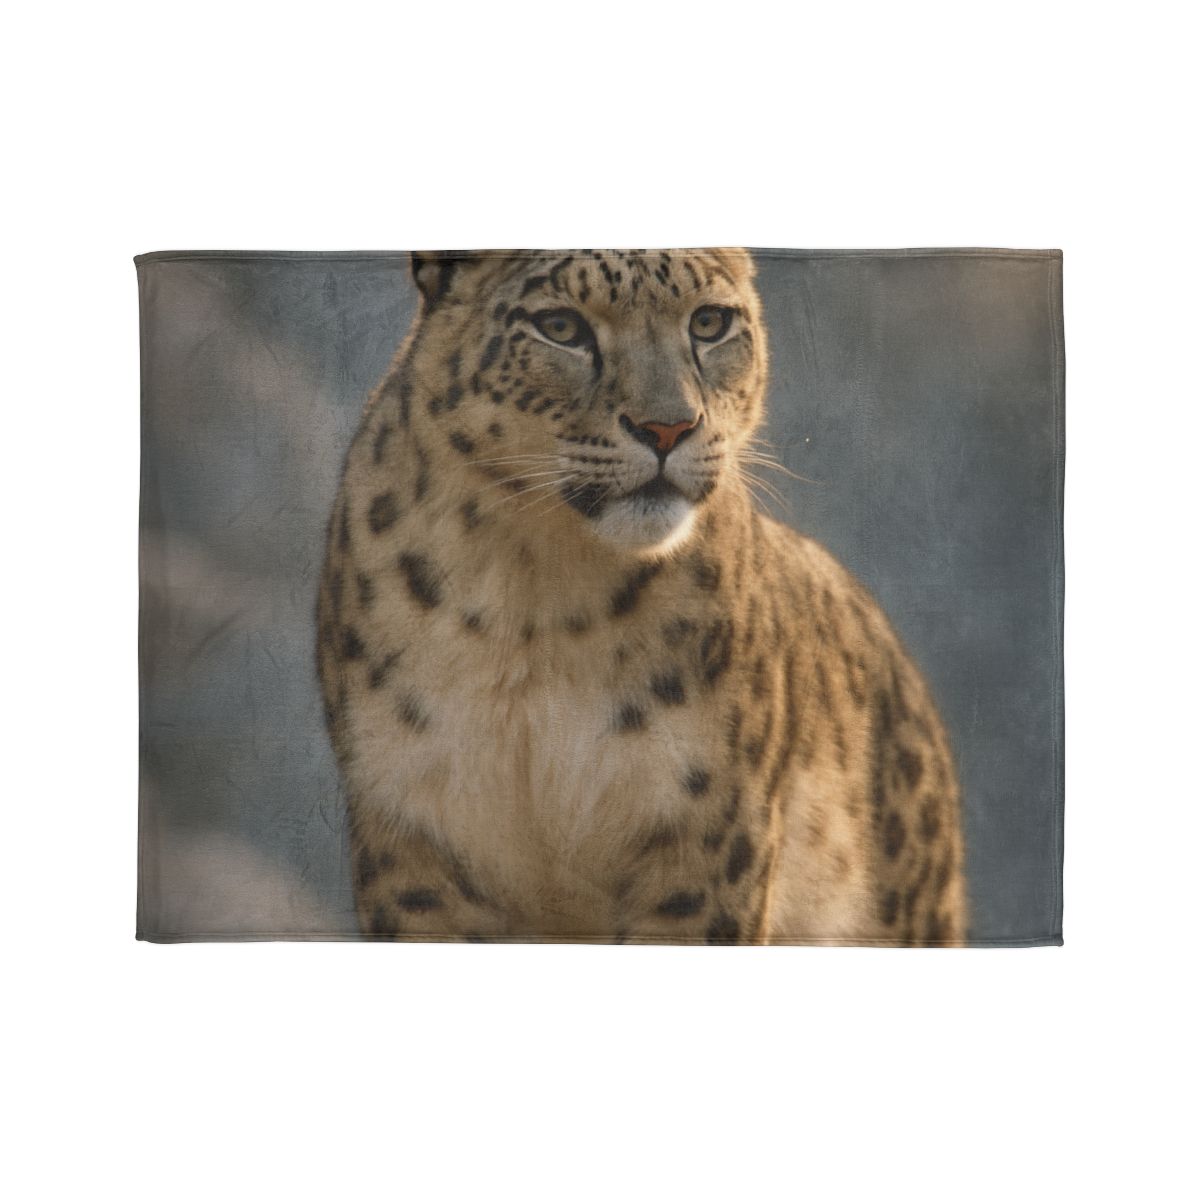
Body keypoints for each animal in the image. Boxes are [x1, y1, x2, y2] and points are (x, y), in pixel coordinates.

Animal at [316, 248, 967, 944]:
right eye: (561, 327)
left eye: (708, 322)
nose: (667, 428)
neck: (535, 595)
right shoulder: (413, 834)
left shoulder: (707, 837)